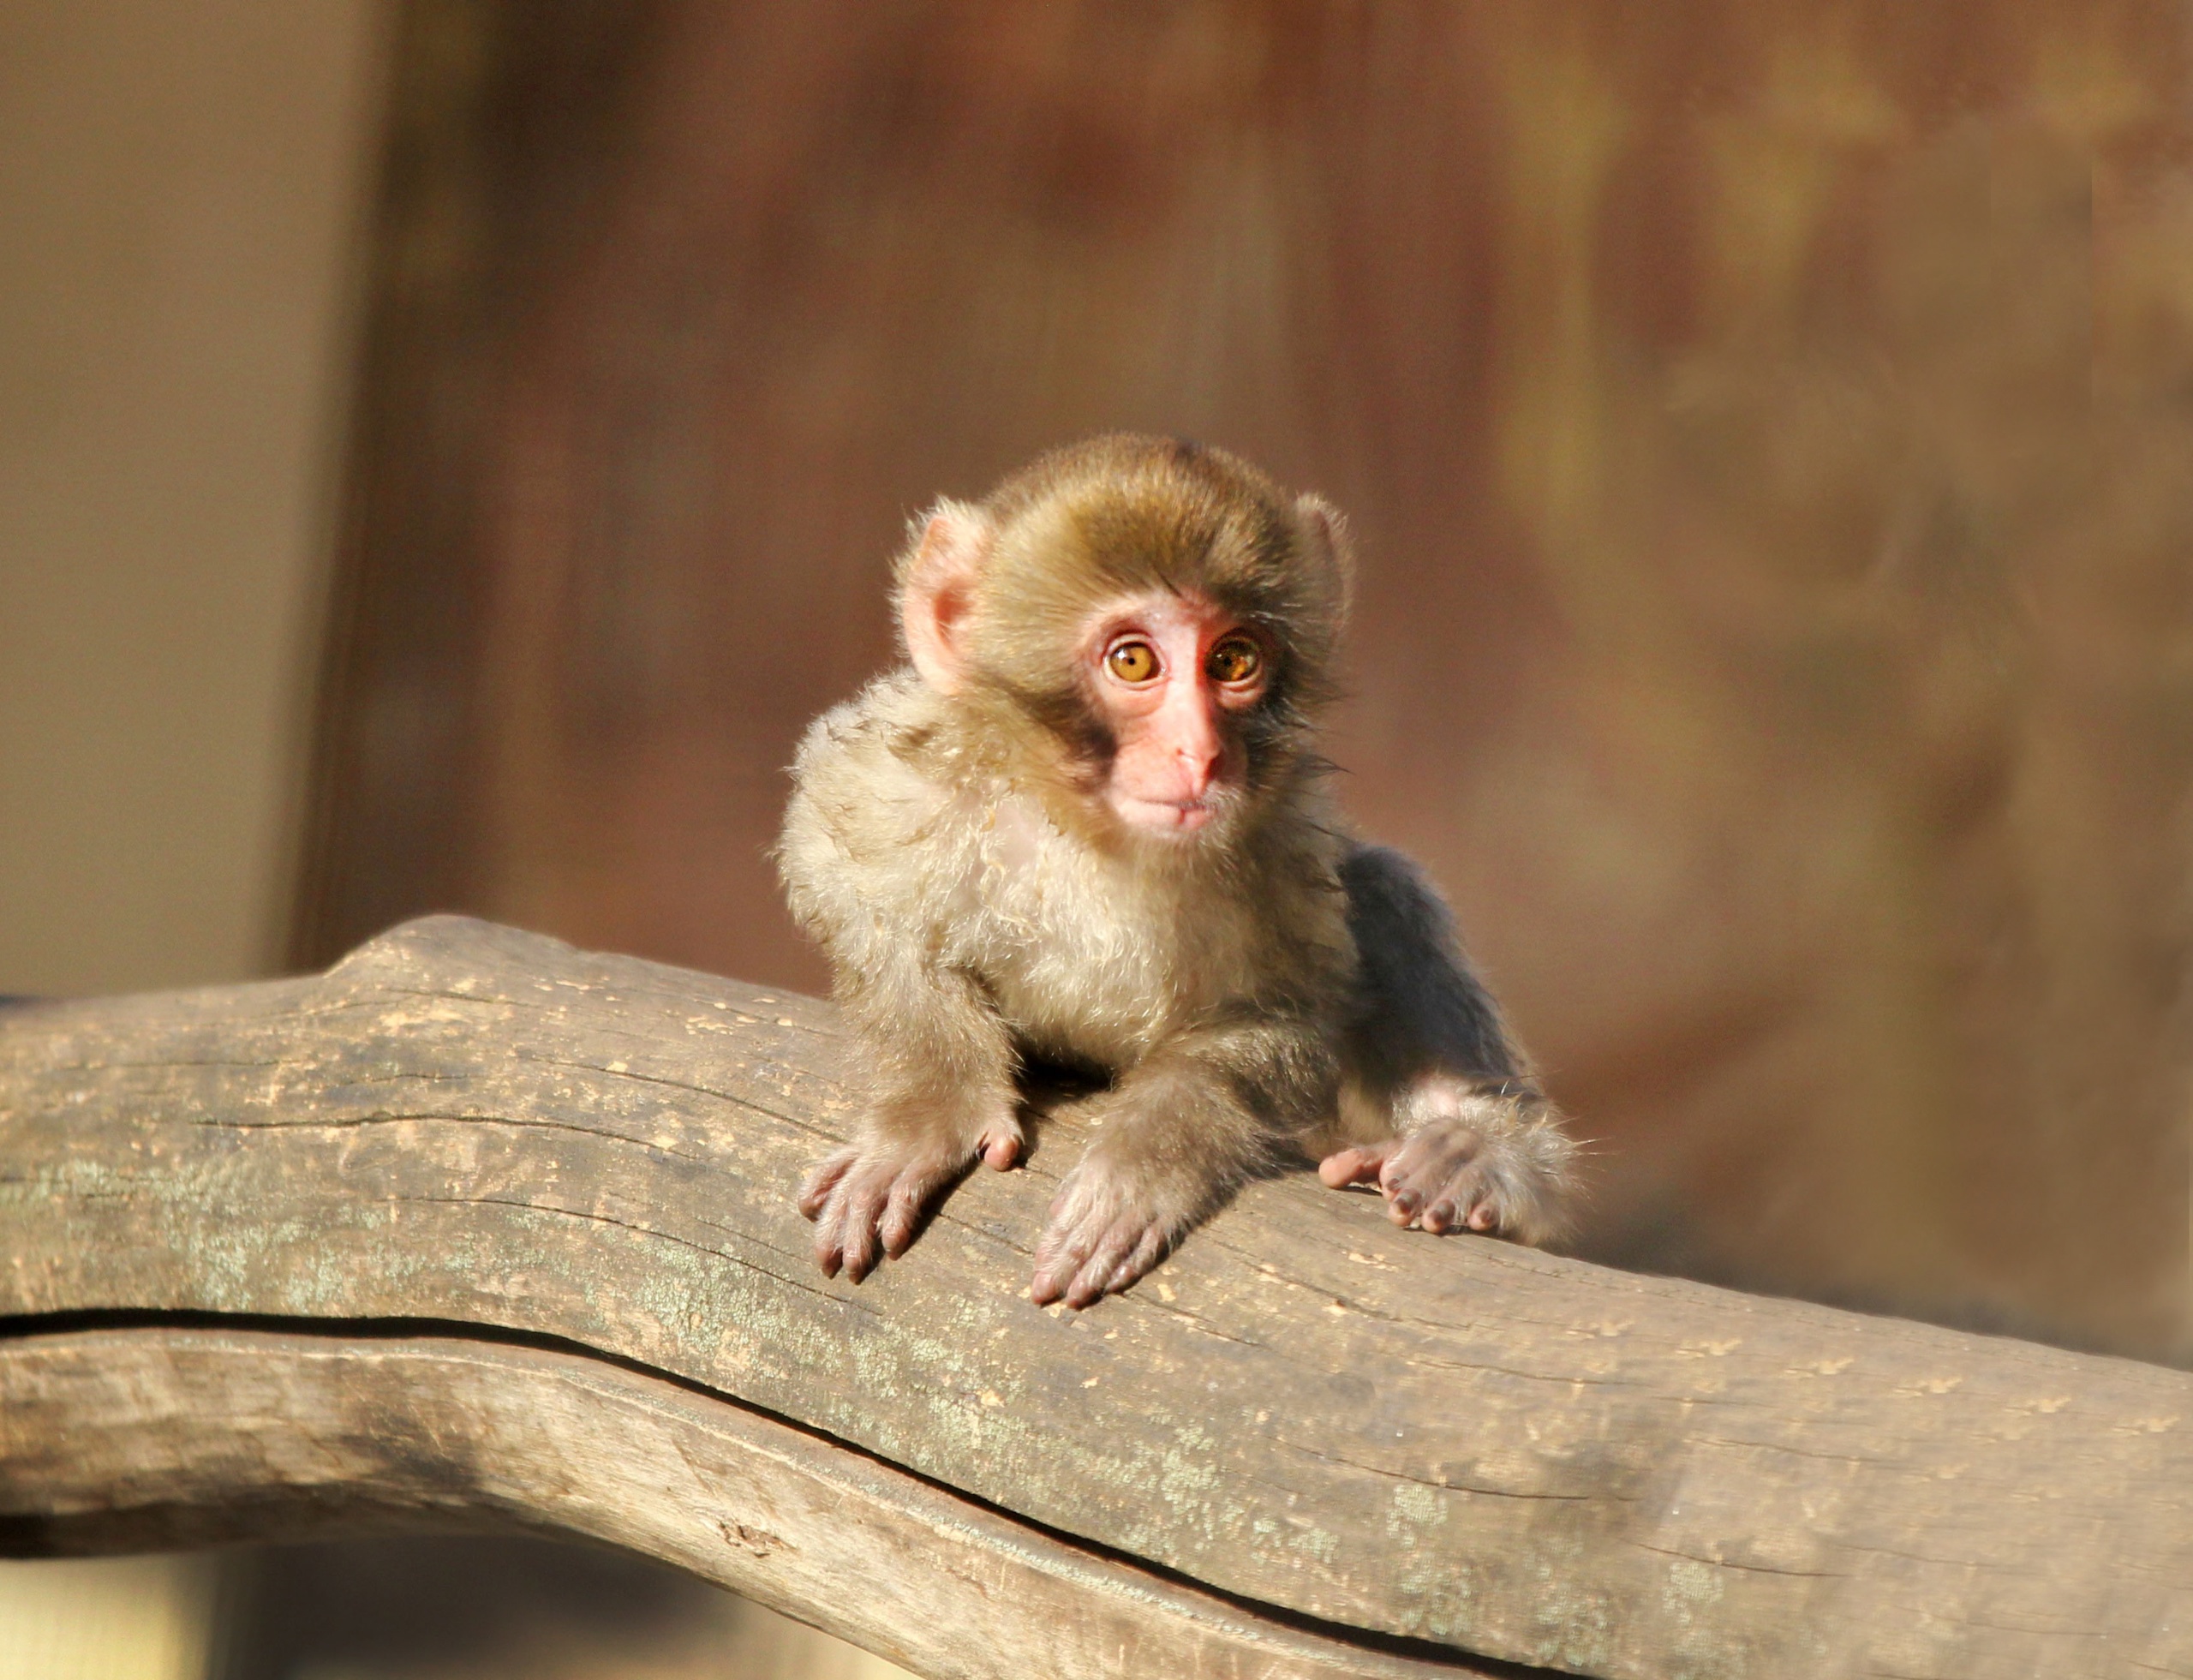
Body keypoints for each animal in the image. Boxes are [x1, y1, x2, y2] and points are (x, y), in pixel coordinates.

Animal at [789, 429, 1579, 1298]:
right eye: (1134, 663)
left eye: (1233, 661)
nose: (1199, 752)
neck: (1097, 836)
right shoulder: (923, 775)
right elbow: (840, 867)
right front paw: (933, 1109)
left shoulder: (1281, 844)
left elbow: (1279, 1014)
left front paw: (1146, 1157)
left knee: (1381, 885)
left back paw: (1476, 1152)